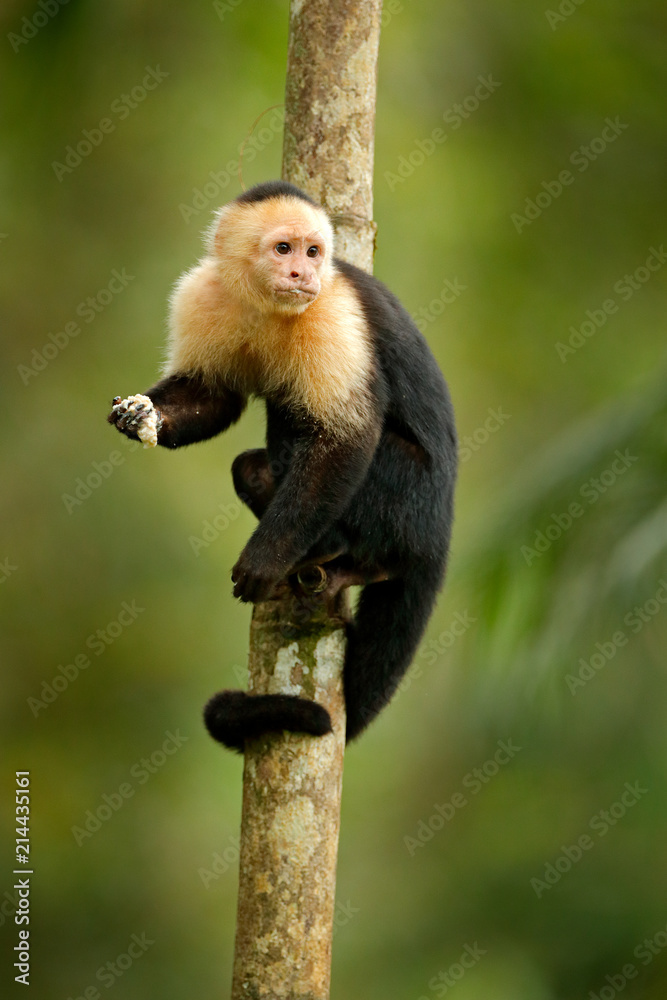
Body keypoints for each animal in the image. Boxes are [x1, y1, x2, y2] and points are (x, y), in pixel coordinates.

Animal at [108, 180, 457, 750]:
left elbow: (344, 438)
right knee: (253, 458)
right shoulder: (202, 294)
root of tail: (442, 529)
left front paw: (266, 559)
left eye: (314, 252)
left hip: (415, 494)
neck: (263, 303)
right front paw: (142, 415)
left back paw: (350, 556)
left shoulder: (331, 313)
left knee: (305, 421)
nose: (302, 274)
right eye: (283, 249)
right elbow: (214, 396)